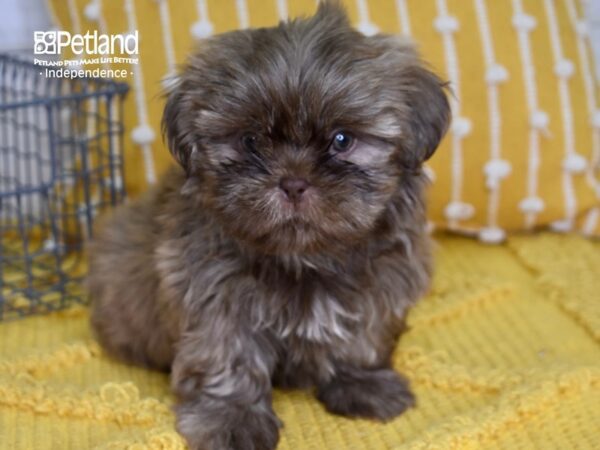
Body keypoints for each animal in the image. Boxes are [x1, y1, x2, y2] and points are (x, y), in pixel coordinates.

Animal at [86, 1, 448, 448]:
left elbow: (361, 337)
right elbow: (228, 357)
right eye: (251, 141)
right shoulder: (215, 295)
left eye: (342, 140)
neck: (304, 258)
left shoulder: (382, 281)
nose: (293, 182)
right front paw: (231, 417)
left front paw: (362, 383)